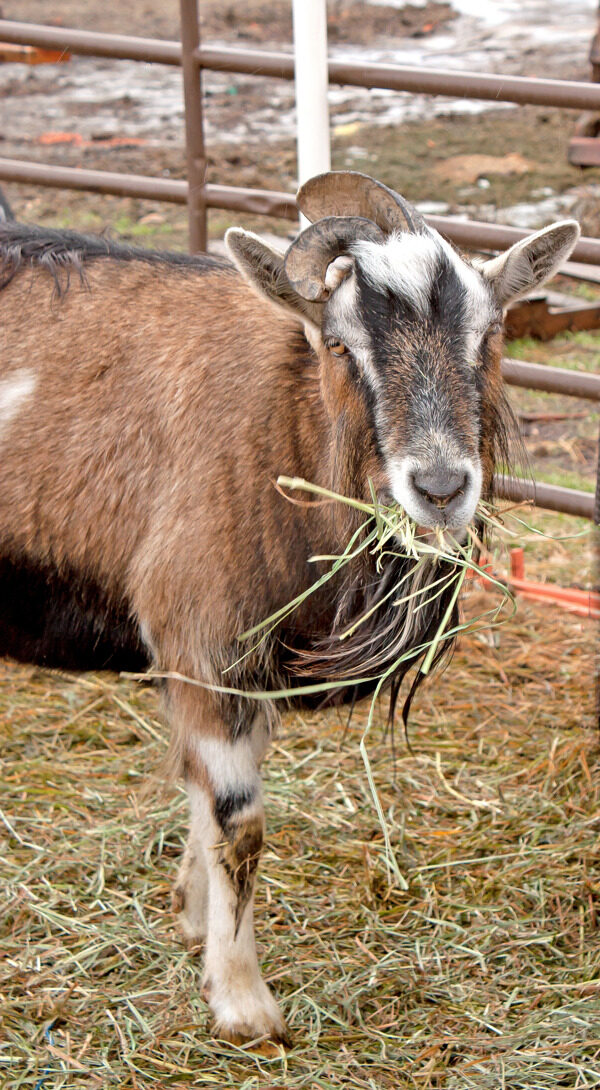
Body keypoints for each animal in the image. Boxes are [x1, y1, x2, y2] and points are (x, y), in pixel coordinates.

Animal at [1, 174, 584, 1042]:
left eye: (488, 334)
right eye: (340, 346)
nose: (441, 488)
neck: (282, 423)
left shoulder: (236, 663)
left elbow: (201, 796)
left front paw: (192, 920)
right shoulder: (203, 635)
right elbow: (238, 823)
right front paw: (244, 1004)